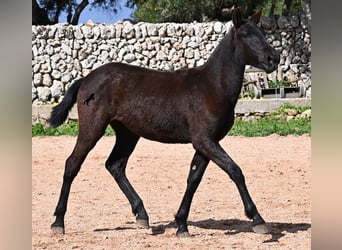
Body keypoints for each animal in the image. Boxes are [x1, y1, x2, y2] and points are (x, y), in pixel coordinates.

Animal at [50, 7, 280, 237]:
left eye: (262, 33)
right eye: (246, 35)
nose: (273, 59)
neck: (211, 87)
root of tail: (86, 79)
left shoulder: (206, 143)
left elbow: (193, 179)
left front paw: (181, 224)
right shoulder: (205, 140)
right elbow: (235, 171)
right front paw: (257, 219)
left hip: (128, 133)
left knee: (115, 165)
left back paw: (142, 215)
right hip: (93, 127)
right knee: (72, 164)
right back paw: (58, 222)